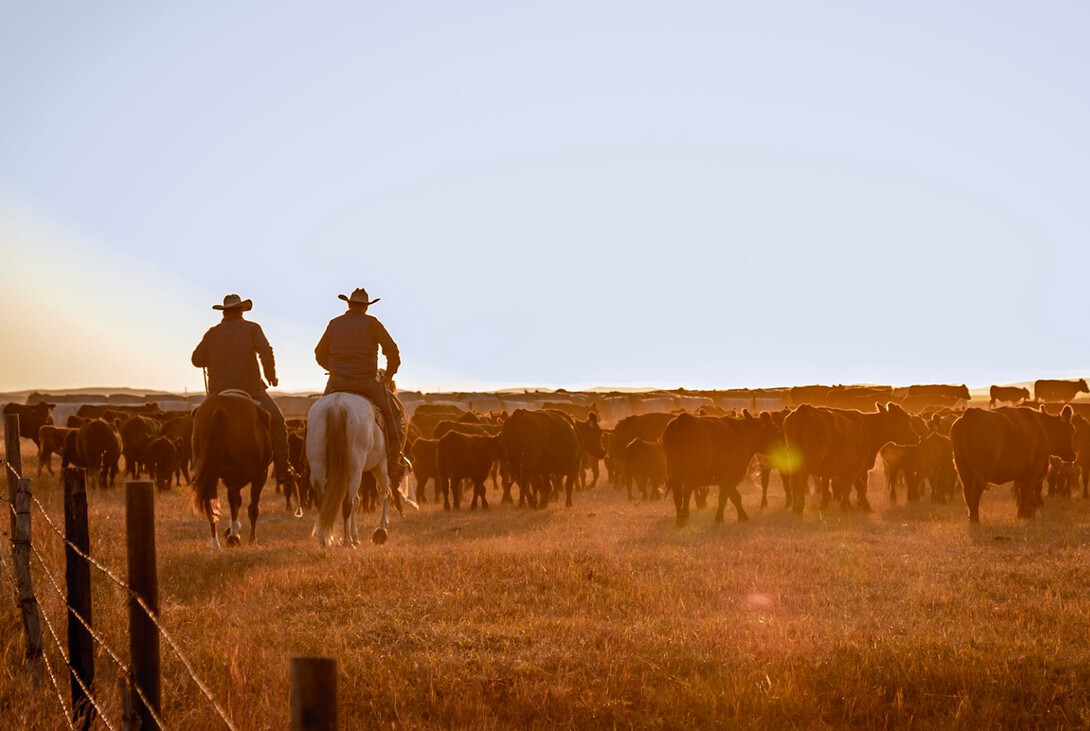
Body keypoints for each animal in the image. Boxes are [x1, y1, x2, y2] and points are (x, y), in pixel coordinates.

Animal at [190, 394, 271, 549]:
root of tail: (220, 409)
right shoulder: (260, 474)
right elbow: (252, 507)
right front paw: (251, 539)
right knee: (236, 502)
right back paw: (233, 537)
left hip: (210, 472)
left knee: (211, 502)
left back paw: (216, 542)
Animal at [307, 392, 416, 546]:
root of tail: (337, 405)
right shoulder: (381, 465)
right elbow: (385, 494)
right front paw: (381, 529)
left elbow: (358, 501)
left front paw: (356, 536)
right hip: (356, 469)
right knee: (348, 503)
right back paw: (347, 541)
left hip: (319, 466)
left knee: (325, 502)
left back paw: (324, 540)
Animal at [780, 405, 924, 514]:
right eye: (906, 420)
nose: (917, 437)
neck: (869, 427)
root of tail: (803, 409)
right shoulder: (855, 467)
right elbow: (856, 487)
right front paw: (850, 507)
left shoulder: (845, 470)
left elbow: (852, 487)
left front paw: (853, 506)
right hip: (809, 461)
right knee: (801, 478)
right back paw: (799, 507)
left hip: (792, 460)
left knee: (794, 480)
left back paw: (795, 507)